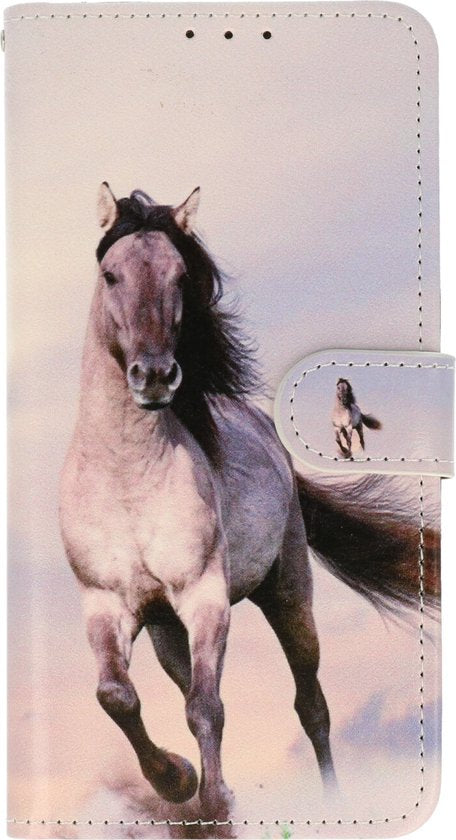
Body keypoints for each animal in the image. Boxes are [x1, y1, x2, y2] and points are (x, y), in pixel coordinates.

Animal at [59, 184, 439, 820]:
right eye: (110, 275)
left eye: (180, 276)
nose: (155, 376)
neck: (127, 480)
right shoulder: (108, 605)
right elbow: (117, 696)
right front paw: (177, 780)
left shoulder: (205, 597)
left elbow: (206, 706)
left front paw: (213, 802)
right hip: (165, 631)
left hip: (288, 597)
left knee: (311, 706)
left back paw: (330, 803)